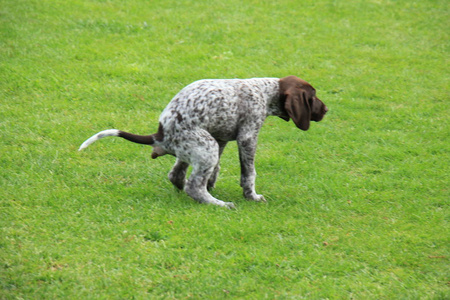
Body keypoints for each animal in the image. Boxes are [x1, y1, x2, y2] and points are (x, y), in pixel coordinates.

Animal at [79, 75, 326, 209]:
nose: (326, 110)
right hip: (206, 146)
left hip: (199, 147)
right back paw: (219, 204)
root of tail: (160, 134)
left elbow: (217, 169)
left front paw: (214, 183)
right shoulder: (247, 137)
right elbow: (249, 173)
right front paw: (252, 196)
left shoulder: (221, 137)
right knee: (193, 185)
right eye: (312, 97)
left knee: (178, 176)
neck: (265, 92)